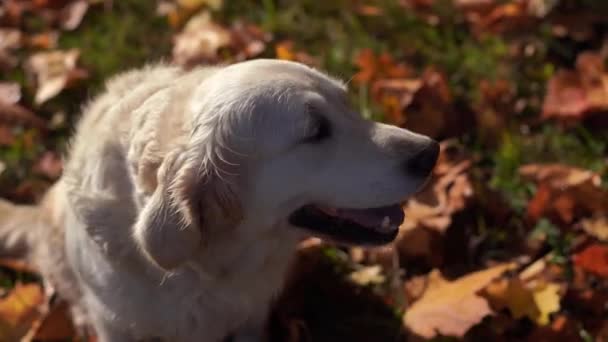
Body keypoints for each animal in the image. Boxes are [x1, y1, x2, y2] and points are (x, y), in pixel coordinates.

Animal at [0, 60, 436, 340]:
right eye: (316, 130)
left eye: (348, 107)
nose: (431, 152)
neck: (209, 266)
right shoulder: (118, 324)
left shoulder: (251, 313)